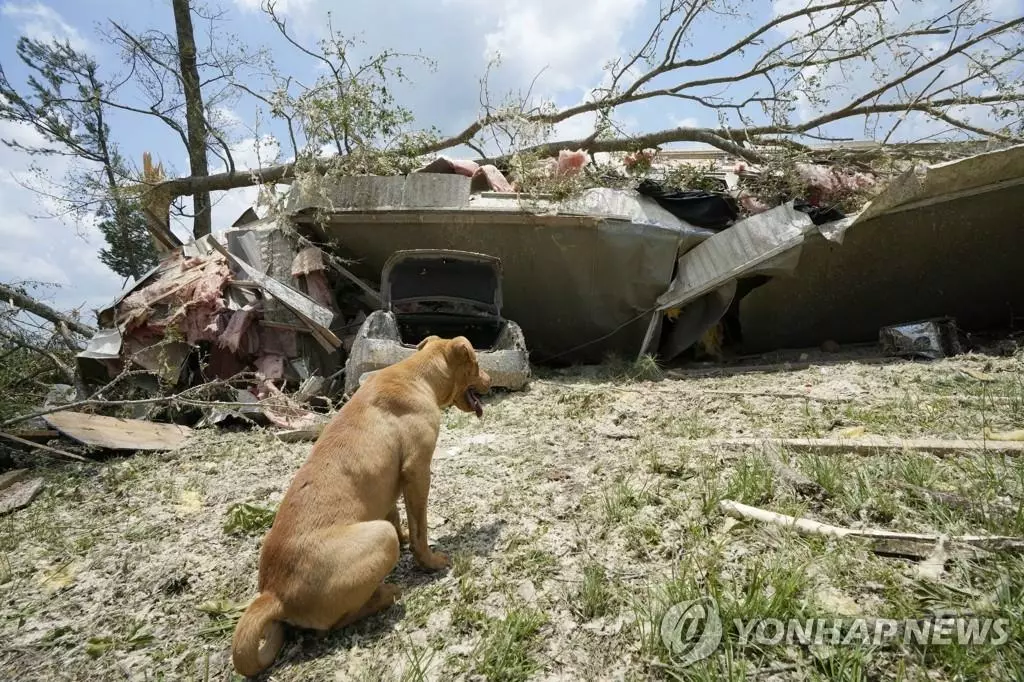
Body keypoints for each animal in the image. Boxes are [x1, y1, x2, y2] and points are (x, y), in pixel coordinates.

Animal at [234, 333, 489, 675]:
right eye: (477, 363)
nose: (490, 379)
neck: (417, 374)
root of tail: (273, 594)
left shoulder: (391, 485)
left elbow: (397, 515)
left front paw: (407, 539)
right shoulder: (417, 471)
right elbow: (420, 529)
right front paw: (429, 561)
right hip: (379, 538)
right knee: (336, 623)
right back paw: (386, 594)